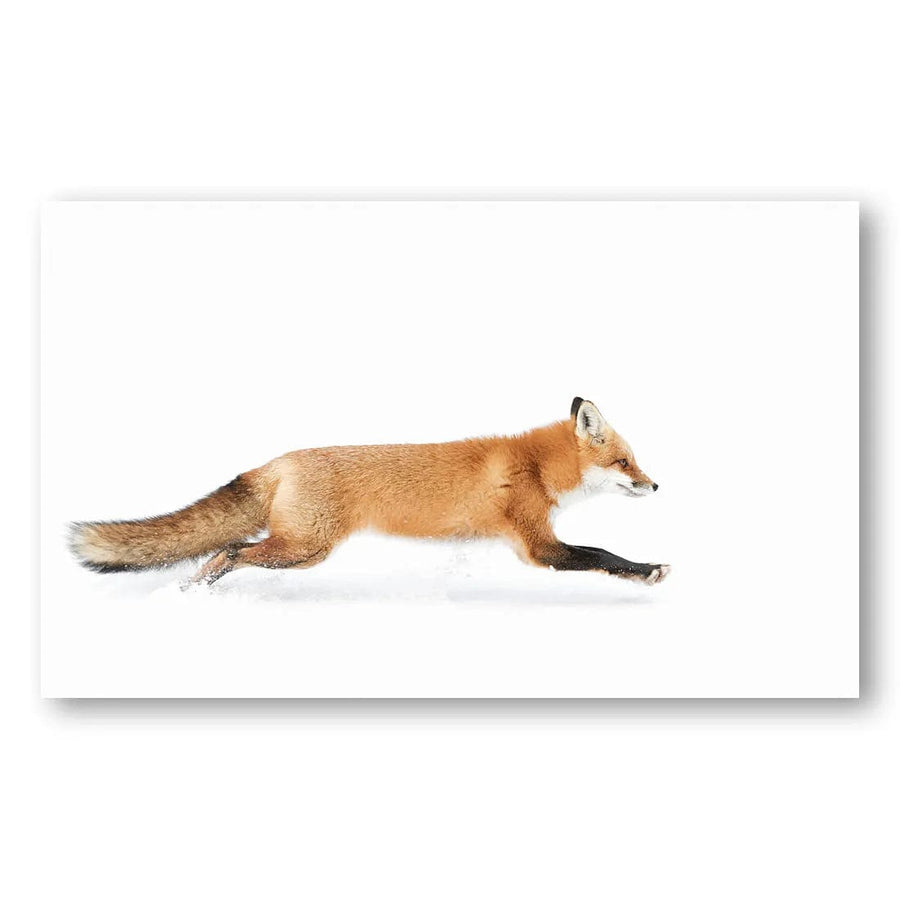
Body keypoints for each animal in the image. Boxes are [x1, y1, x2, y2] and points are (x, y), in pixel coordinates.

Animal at [69, 397, 670, 587]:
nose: (656, 484)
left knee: (226, 552)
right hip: (303, 550)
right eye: (624, 462)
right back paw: (193, 594)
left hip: (300, 551)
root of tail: (278, 461)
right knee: (228, 551)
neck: (535, 467)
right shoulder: (538, 546)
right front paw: (648, 571)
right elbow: (601, 553)